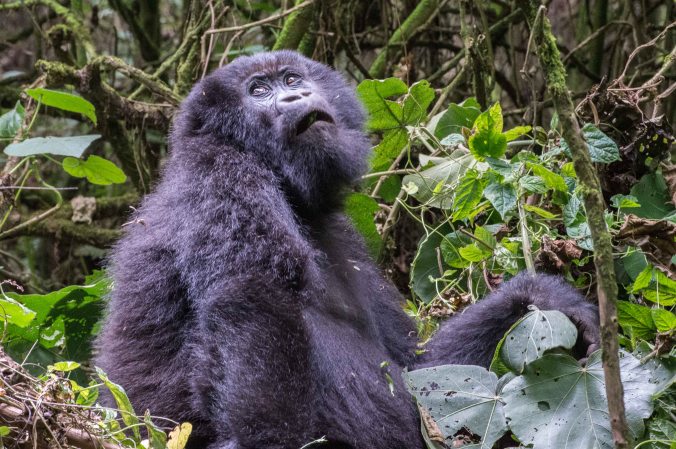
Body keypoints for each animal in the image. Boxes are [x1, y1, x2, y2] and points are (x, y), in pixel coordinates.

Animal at [96, 50, 600, 449]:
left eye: (291, 79)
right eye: (258, 90)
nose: (295, 98)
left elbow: (417, 367)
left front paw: (544, 298)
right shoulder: (219, 172)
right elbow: (254, 295)